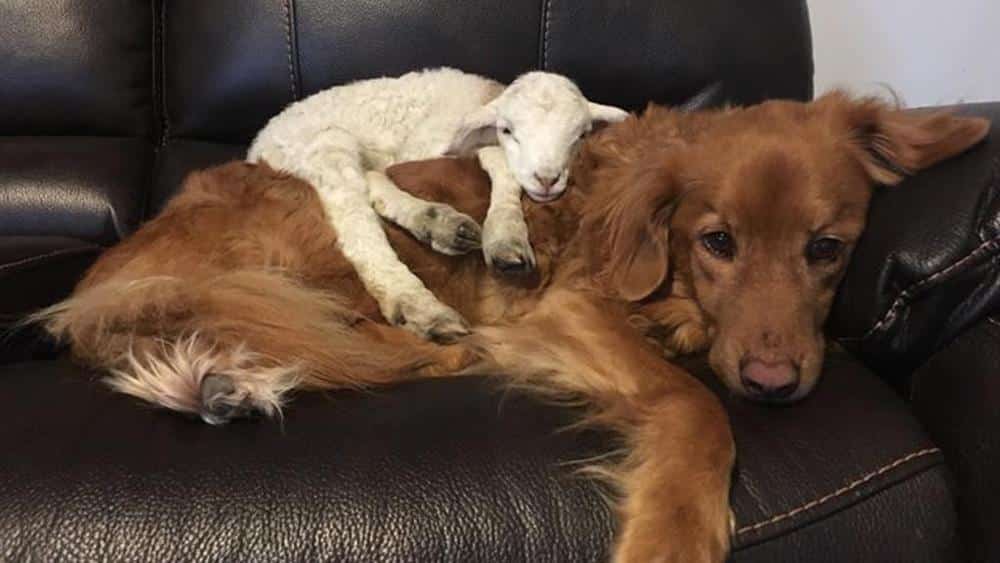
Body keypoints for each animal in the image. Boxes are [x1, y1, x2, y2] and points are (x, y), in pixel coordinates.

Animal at [248, 69, 624, 344]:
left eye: (581, 135)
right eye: (507, 129)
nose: (547, 179)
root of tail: (258, 147)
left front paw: (504, 236)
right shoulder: (426, 146)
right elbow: (497, 158)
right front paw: (506, 235)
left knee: (372, 180)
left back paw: (436, 223)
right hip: (324, 144)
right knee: (354, 216)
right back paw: (418, 305)